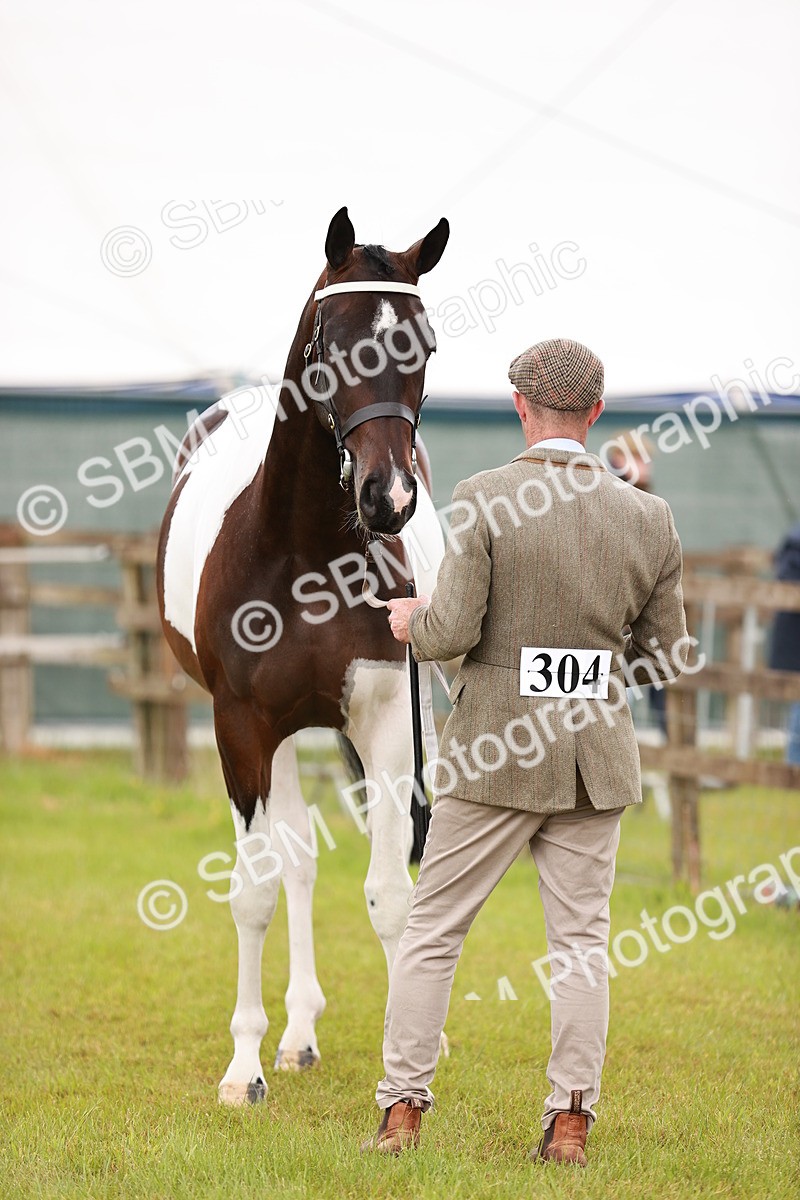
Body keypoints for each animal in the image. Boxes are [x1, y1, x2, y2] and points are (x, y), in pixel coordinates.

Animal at [156, 207, 450, 1105]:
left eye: (425, 346)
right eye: (338, 342)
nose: (390, 498)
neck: (304, 551)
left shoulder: (387, 721)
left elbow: (391, 895)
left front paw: (407, 1062)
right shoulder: (242, 728)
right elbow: (254, 893)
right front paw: (243, 1068)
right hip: (277, 739)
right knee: (293, 866)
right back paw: (292, 1036)